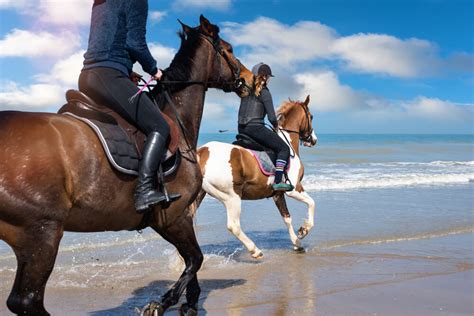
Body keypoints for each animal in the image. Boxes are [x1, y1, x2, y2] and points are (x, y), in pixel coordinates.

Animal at [0, 15, 254, 316]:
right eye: (228, 49)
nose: (249, 80)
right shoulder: (174, 217)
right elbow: (195, 260)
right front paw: (162, 303)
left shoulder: (173, 219)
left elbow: (191, 261)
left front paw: (189, 303)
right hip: (42, 233)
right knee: (26, 300)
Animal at [193, 96, 318, 260]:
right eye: (311, 116)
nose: (314, 140)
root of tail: (202, 152)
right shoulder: (294, 189)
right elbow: (312, 203)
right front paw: (304, 230)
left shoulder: (277, 194)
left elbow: (287, 217)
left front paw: (297, 244)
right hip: (231, 197)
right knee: (233, 225)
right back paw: (255, 250)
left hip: (200, 196)